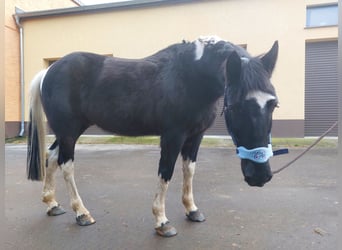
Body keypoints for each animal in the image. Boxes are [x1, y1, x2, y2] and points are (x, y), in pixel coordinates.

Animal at [26, 35, 278, 236]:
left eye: (274, 104)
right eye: (236, 107)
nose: (260, 176)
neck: (190, 76)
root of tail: (49, 70)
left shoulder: (195, 136)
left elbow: (189, 171)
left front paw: (192, 209)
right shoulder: (173, 136)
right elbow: (166, 173)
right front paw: (162, 221)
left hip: (69, 131)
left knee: (51, 157)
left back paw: (52, 204)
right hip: (69, 132)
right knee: (66, 165)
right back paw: (81, 213)